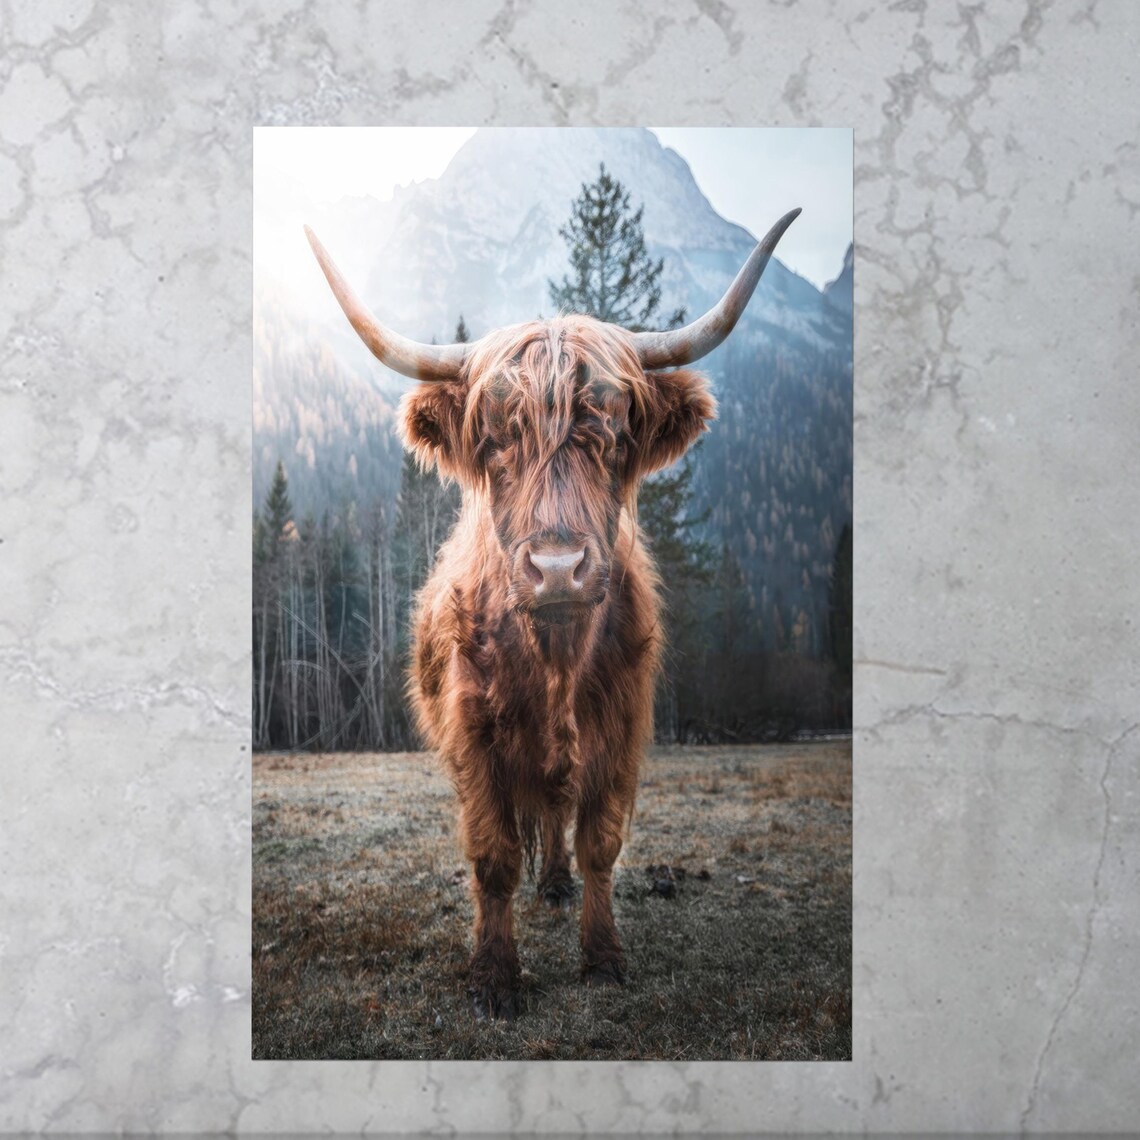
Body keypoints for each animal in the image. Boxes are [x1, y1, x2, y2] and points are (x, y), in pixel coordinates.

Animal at [304, 207, 800, 1019]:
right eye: (495, 440)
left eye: (615, 434)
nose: (559, 568)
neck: (555, 659)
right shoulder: (473, 734)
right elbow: (493, 855)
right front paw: (495, 976)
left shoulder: (621, 726)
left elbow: (599, 841)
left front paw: (601, 957)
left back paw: (560, 884)